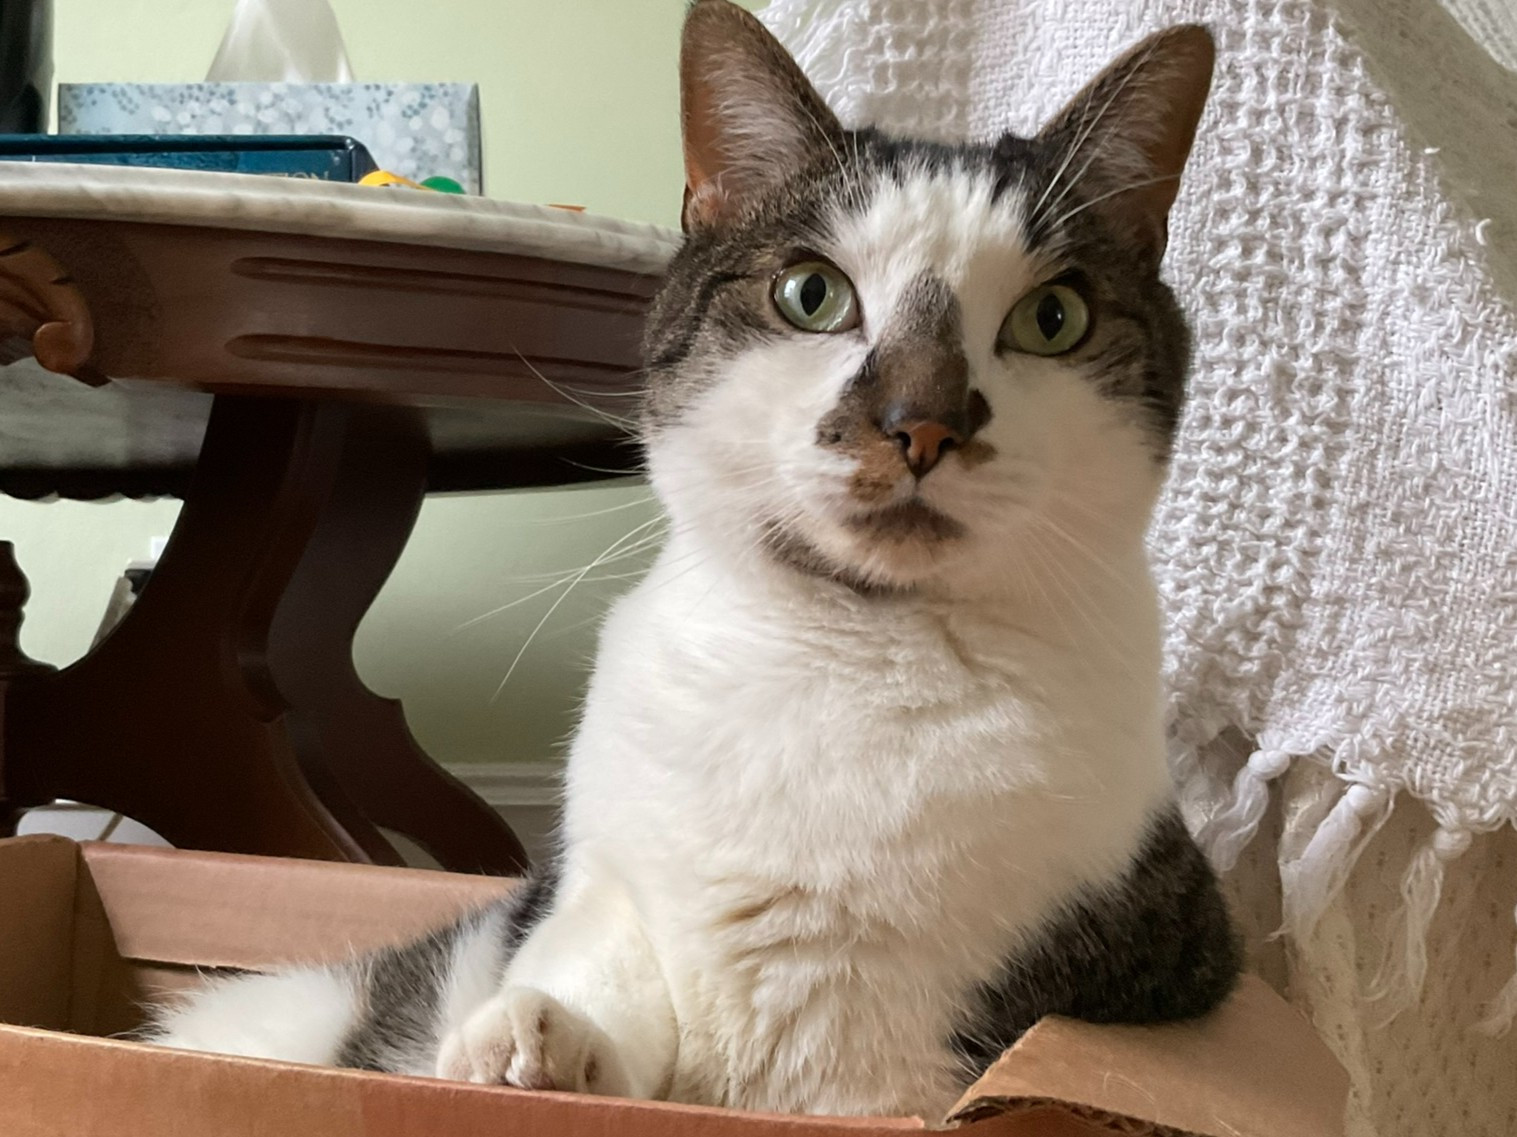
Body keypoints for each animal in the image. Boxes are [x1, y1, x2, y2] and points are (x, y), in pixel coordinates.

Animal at [147, 0, 1243, 1121]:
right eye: (810, 294)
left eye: (1051, 319)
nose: (921, 420)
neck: (848, 654)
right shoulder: (596, 873)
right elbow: (600, 950)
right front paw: (537, 1039)